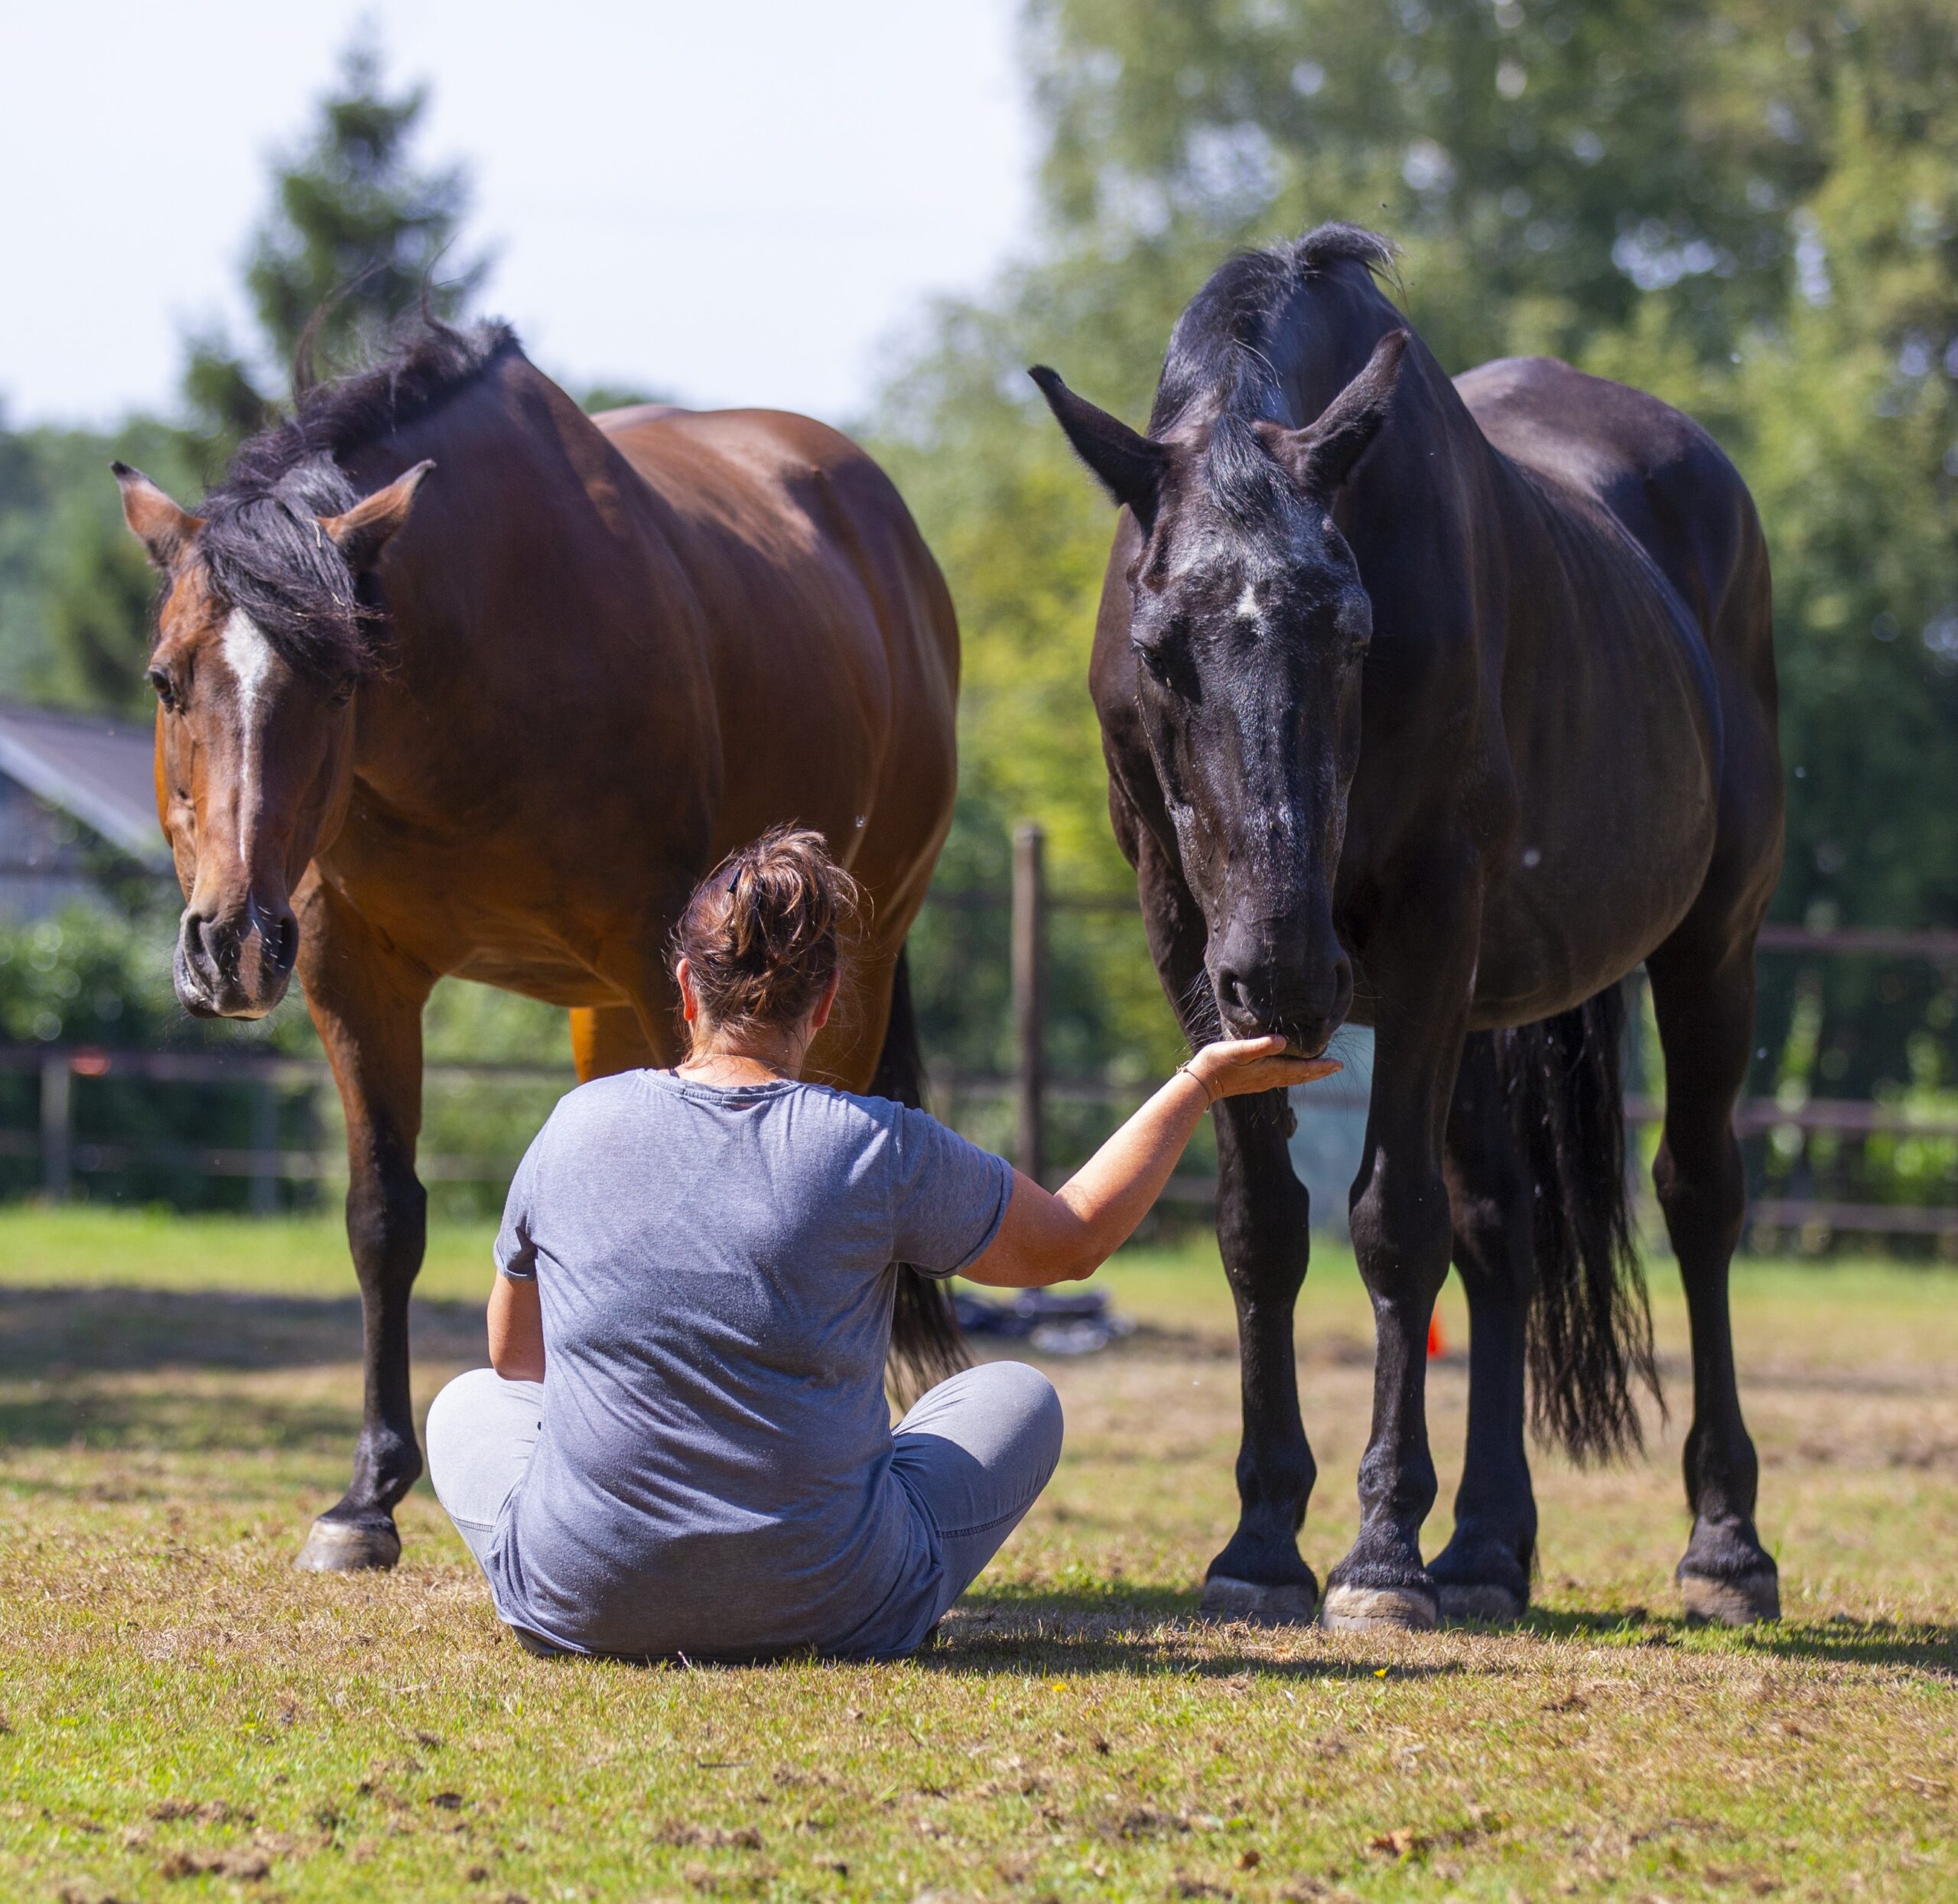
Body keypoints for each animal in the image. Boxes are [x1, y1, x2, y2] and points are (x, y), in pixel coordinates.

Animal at [114, 319, 963, 1565]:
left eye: (339, 683)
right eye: (167, 680)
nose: (232, 945)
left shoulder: (676, 971)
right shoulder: (351, 971)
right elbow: (385, 1217)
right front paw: (365, 1499)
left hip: (845, 964)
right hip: (604, 1007)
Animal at [1041, 219, 1793, 1620]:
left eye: (1351, 635)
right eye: (1161, 648)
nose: (1285, 974)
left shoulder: (1433, 920)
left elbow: (1394, 1224)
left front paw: (1381, 1548)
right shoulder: (1186, 935)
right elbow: (1264, 1227)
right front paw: (1263, 1538)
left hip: (1710, 944)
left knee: (1698, 1195)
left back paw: (1725, 1543)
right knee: (1502, 1225)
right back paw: (1489, 1546)